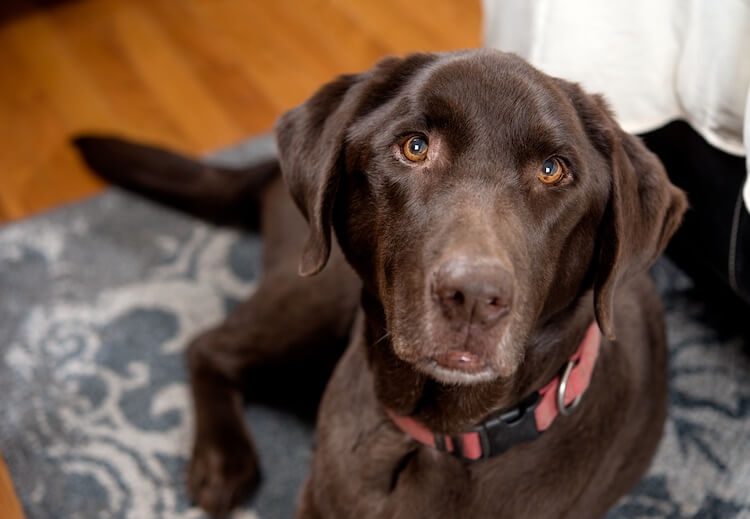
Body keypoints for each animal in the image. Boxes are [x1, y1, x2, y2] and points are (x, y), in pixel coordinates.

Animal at [75, 49, 688, 519]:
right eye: (414, 147)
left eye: (553, 170)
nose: (473, 297)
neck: (435, 435)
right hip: (319, 286)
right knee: (208, 346)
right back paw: (223, 463)